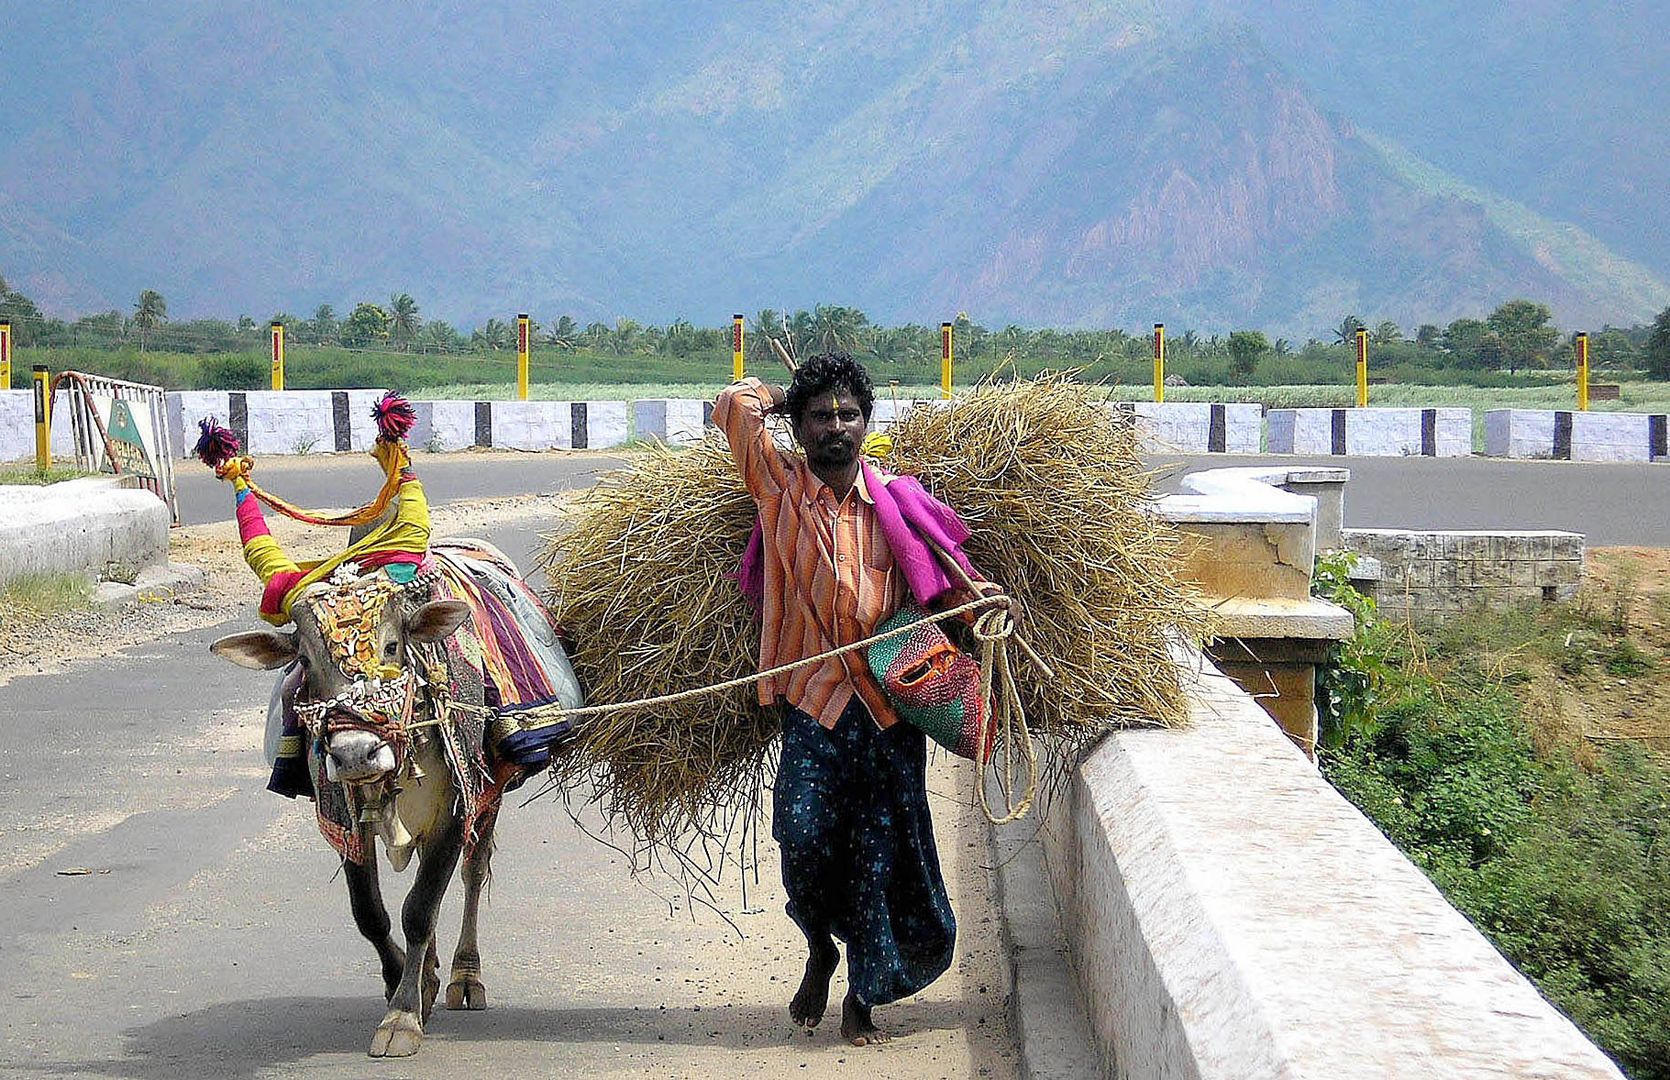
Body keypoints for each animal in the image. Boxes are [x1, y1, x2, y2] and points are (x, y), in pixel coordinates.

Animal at [197, 395, 581, 1054]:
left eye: (396, 646)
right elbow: (371, 914)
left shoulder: (456, 809)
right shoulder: (341, 811)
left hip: (492, 790)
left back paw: (463, 976)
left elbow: (421, 907)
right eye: (304, 661)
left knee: (472, 875)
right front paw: (405, 984)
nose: (355, 754)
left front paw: (403, 1015)